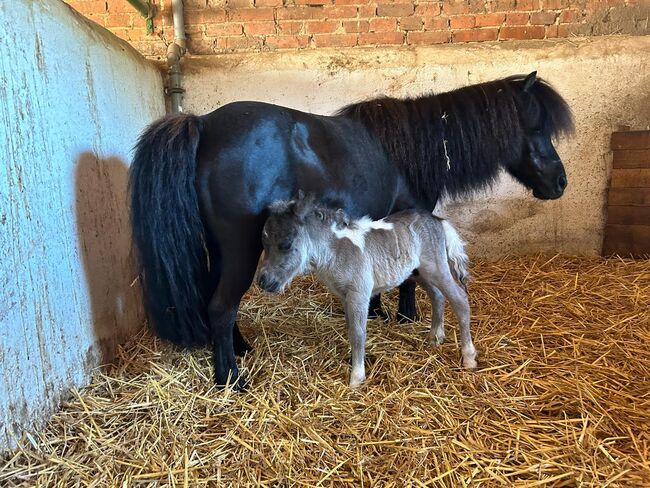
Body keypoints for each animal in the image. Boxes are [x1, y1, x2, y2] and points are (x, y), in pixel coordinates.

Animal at [129, 71, 568, 388]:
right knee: (221, 307)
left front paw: (377, 311)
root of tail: (203, 125)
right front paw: (405, 316)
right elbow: (408, 279)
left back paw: (241, 350)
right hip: (241, 250)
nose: (560, 182)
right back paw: (231, 380)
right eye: (536, 128)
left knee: (218, 302)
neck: (413, 147)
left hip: (223, 251)